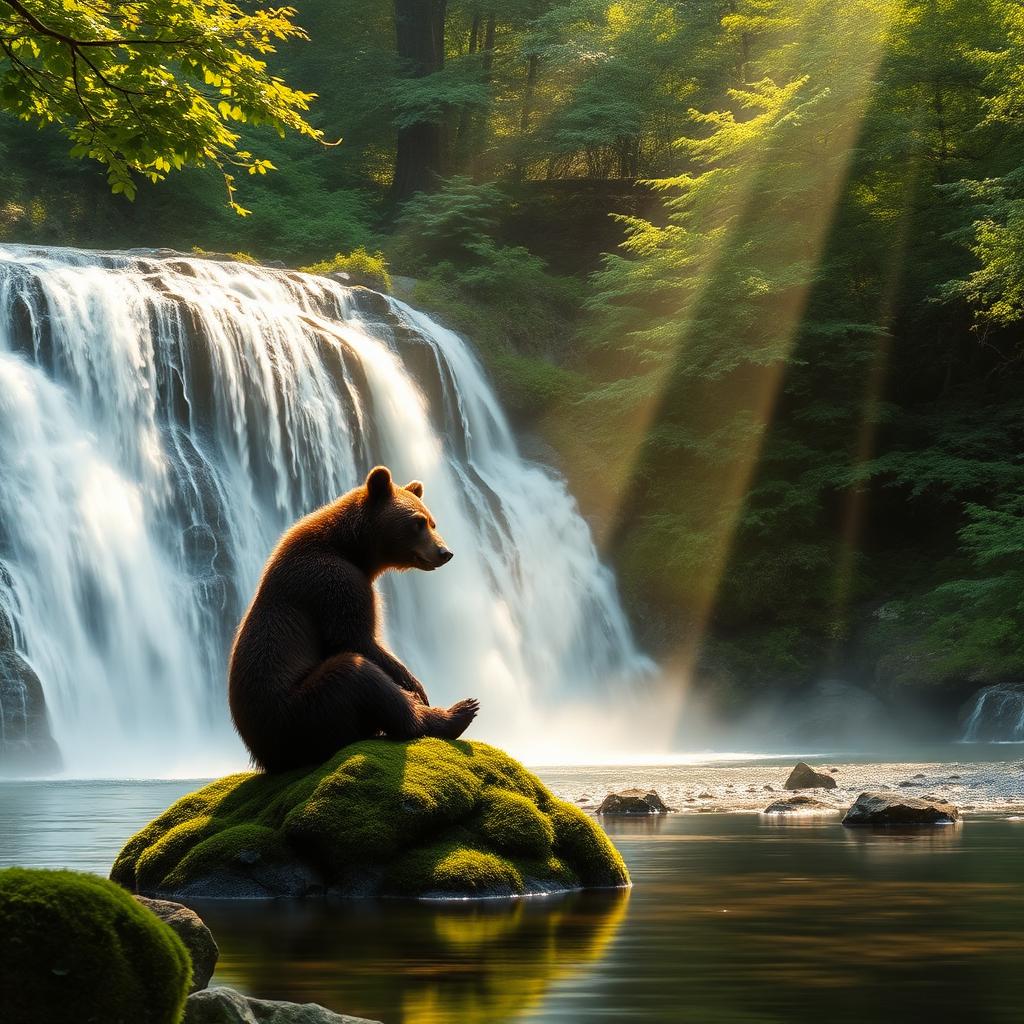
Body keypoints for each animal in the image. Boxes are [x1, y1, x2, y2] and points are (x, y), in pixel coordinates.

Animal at [228, 466, 479, 772]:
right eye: (418, 522)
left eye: (433, 522)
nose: (445, 552)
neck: (352, 549)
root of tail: (263, 757)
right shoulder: (334, 581)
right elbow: (356, 639)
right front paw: (416, 687)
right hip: (299, 714)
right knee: (354, 674)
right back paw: (457, 713)